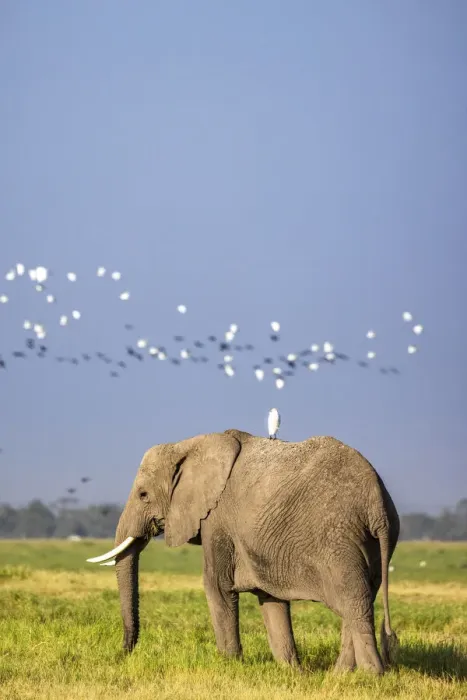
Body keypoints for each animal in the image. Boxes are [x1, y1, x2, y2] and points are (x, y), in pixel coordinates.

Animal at [87, 429, 399, 674]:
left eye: (143, 495)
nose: (124, 653)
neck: (189, 444)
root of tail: (377, 502)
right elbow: (270, 598)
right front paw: (292, 672)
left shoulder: (217, 519)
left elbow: (216, 586)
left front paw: (229, 666)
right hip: (367, 543)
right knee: (359, 601)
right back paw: (339, 676)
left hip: (337, 538)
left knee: (354, 602)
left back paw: (370, 676)